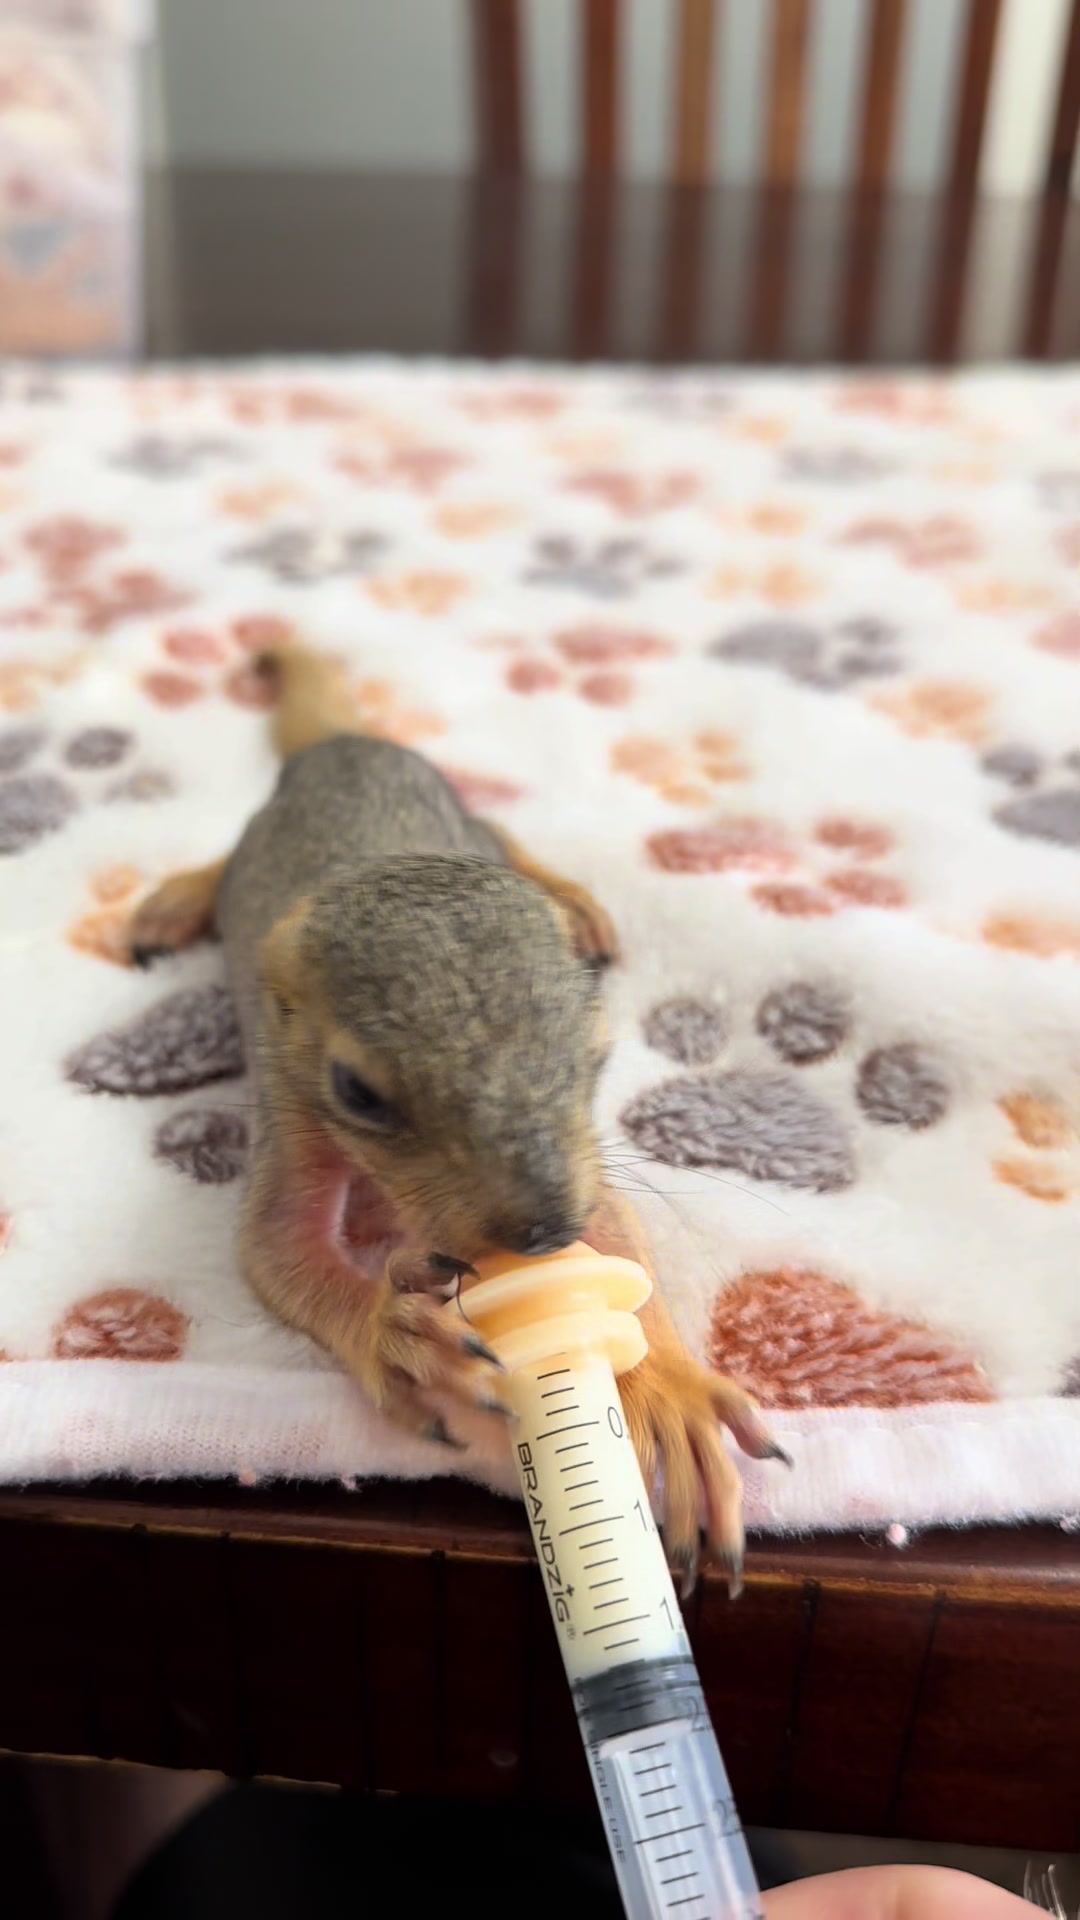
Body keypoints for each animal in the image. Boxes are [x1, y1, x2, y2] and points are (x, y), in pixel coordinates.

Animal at [128, 642, 784, 1592]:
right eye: (357, 1092)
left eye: (600, 1050)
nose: (544, 1230)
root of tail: (345, 746)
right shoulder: (292, 1109)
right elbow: (279, 1248)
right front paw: (401, 1337)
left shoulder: (588, 1163)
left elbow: (619, 1235)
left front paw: (666, 1388)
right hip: (256, 848)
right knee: (223, 862)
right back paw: (178, 896)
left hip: (466, 813)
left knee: (508, 839)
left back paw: (570, 897)